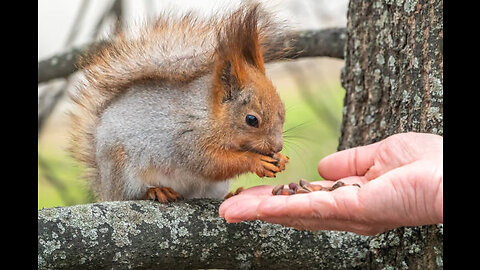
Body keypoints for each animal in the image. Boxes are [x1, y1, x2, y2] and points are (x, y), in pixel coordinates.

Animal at [68, 1, 290, 201]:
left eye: (283, 111)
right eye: (251, 120)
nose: (277, 147)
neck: (209, 115)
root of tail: (106, 188)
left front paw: (280, 159)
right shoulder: (188, 140)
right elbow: (212, 164)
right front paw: (256, 161)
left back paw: (231, 195)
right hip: (123, 171)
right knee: (132, 194)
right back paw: (156, 191)